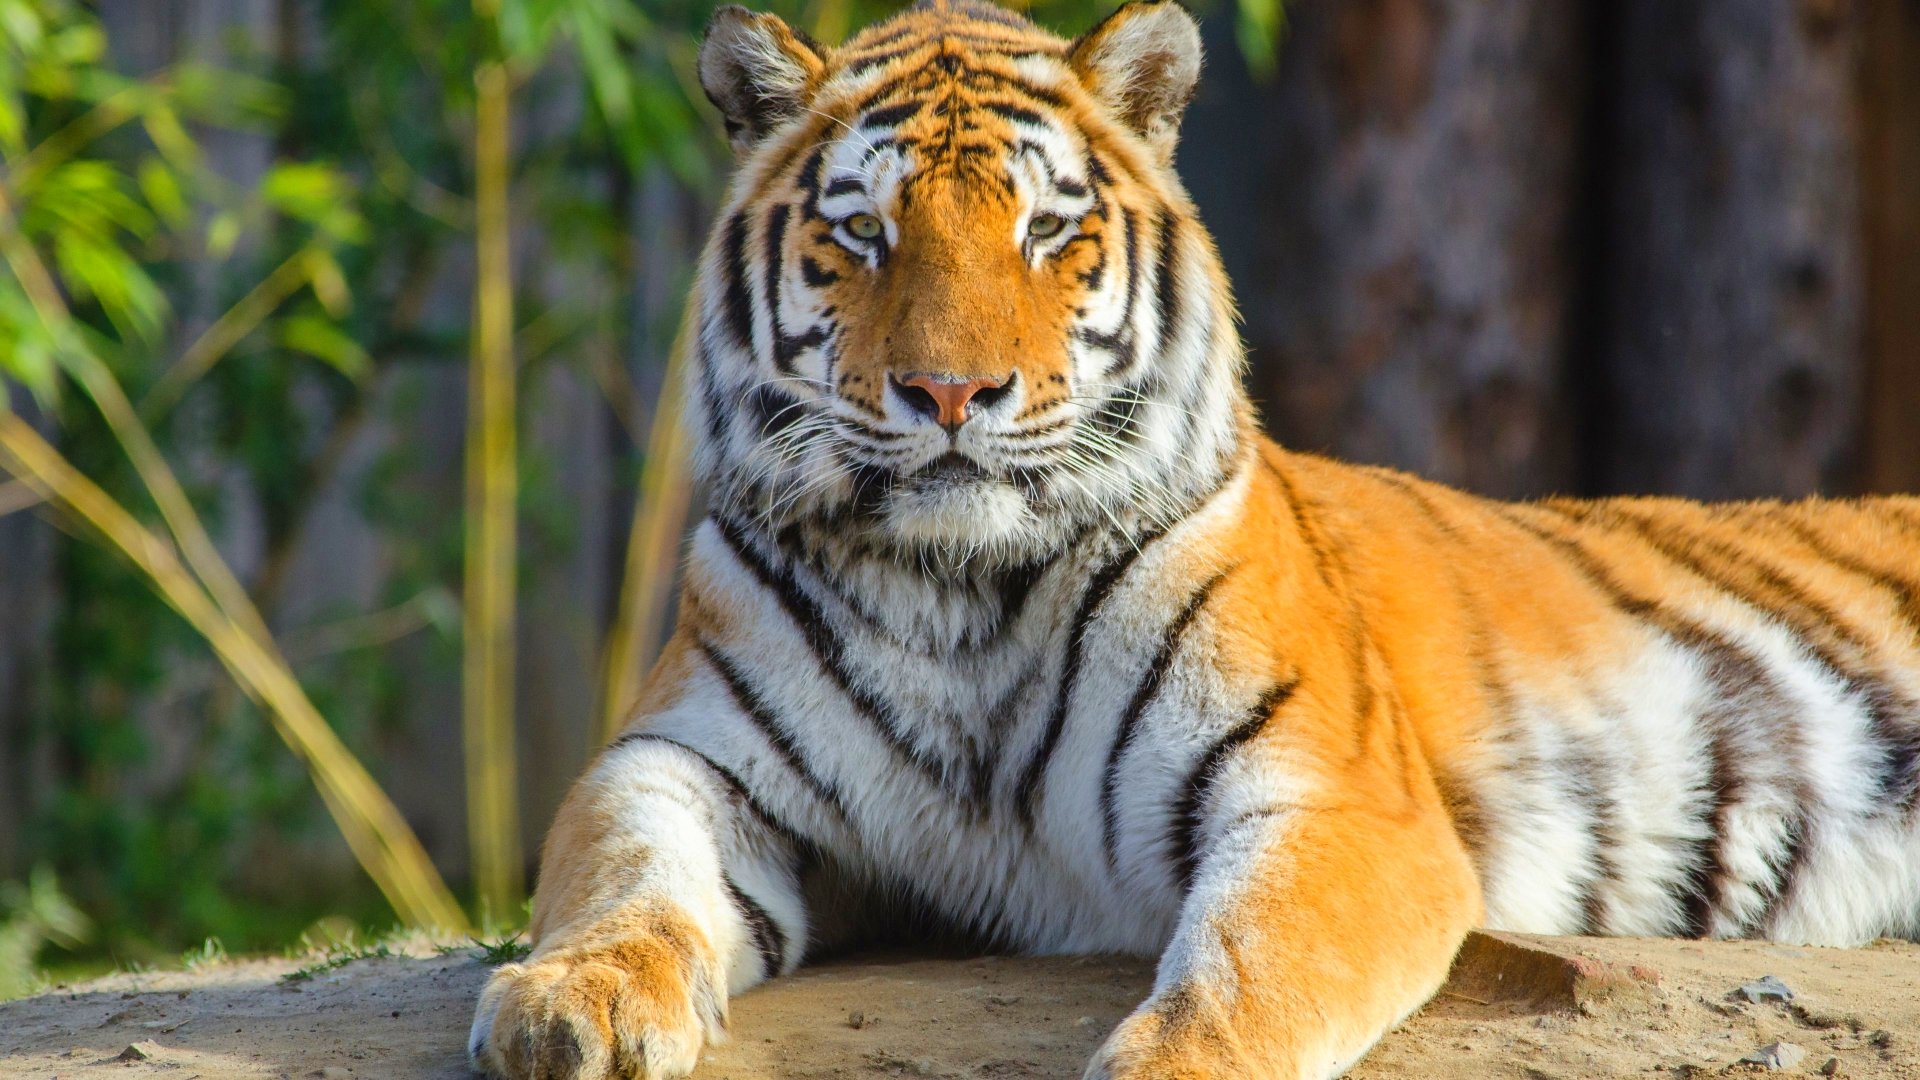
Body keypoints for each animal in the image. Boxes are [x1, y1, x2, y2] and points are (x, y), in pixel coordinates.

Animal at [467, 0, 1920, 1076]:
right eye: (862, 231)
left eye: (1047, 228)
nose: (950, 394)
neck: (960, 591)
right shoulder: (676, 758)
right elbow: (623, 880)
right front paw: (568, 1003)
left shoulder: (1335, 796)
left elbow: (1249, 976)